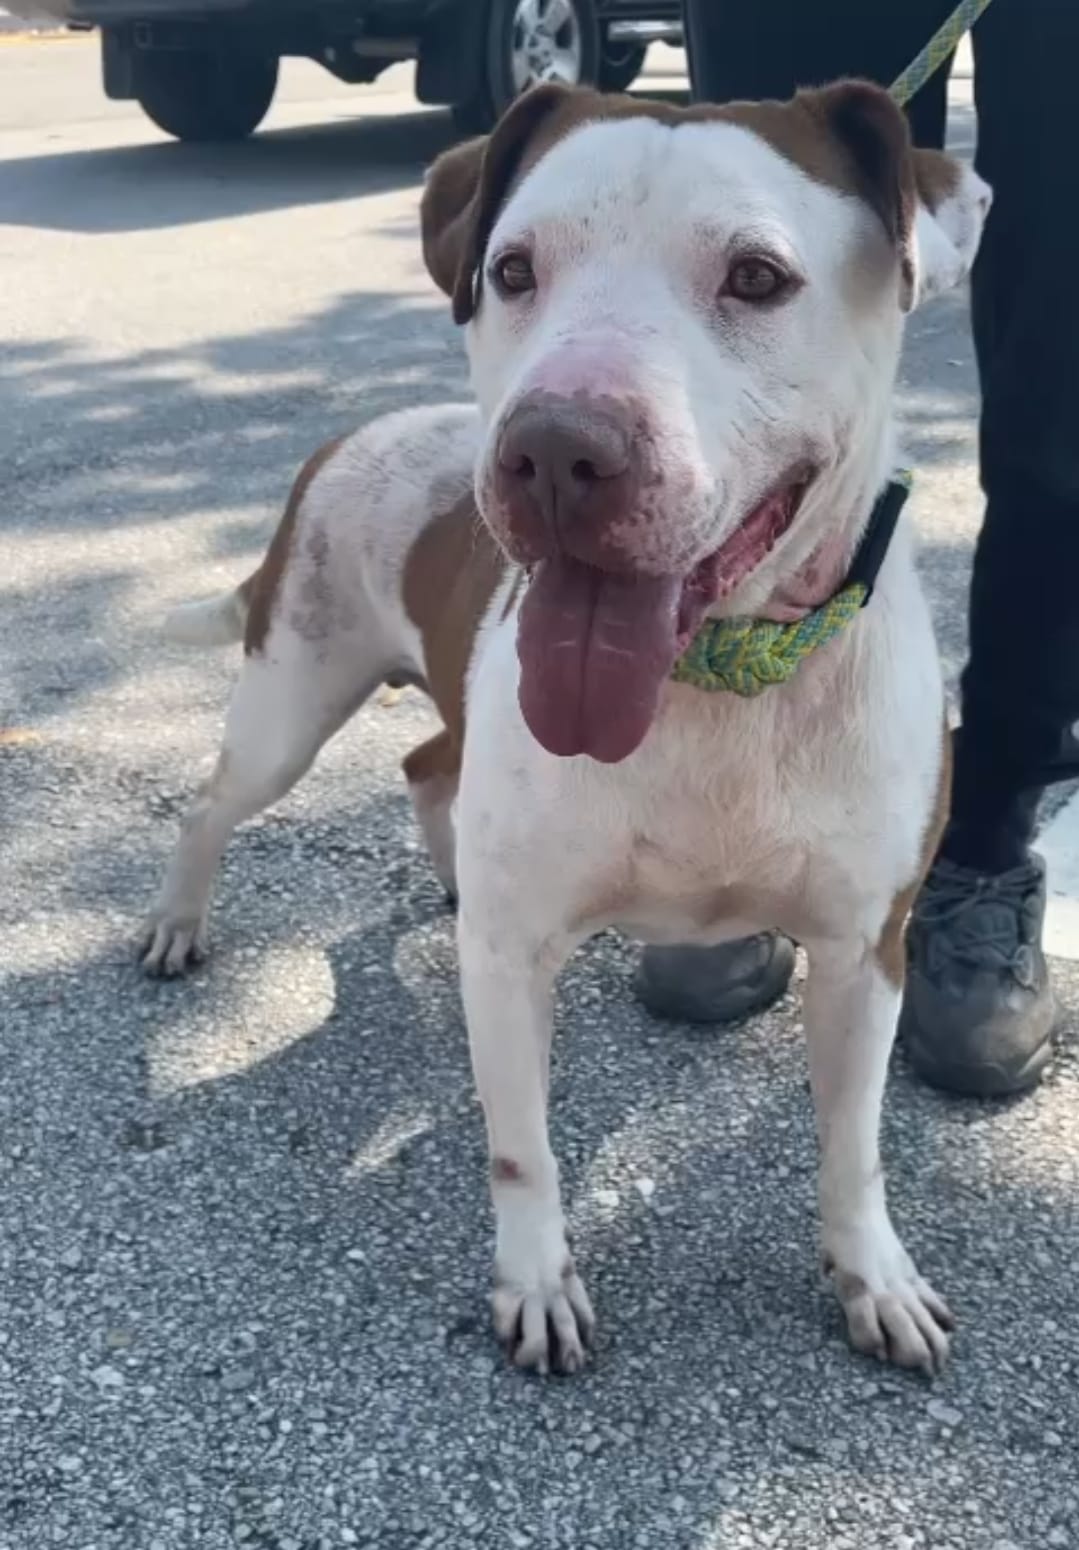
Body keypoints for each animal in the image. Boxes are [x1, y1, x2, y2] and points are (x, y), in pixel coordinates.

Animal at [147, 84, 992, 1376]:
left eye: (756, 277)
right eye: (511, 268)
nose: (552, 447)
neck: (713, 681)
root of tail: (345, 437)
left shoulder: (864, 949)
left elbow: (852, 1145)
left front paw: (873, 1277)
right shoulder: (509, 961)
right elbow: (520, 1146)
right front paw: (536, 1280)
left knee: (423, 760)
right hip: (288, 702)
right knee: (210, 802)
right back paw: (178, 922)